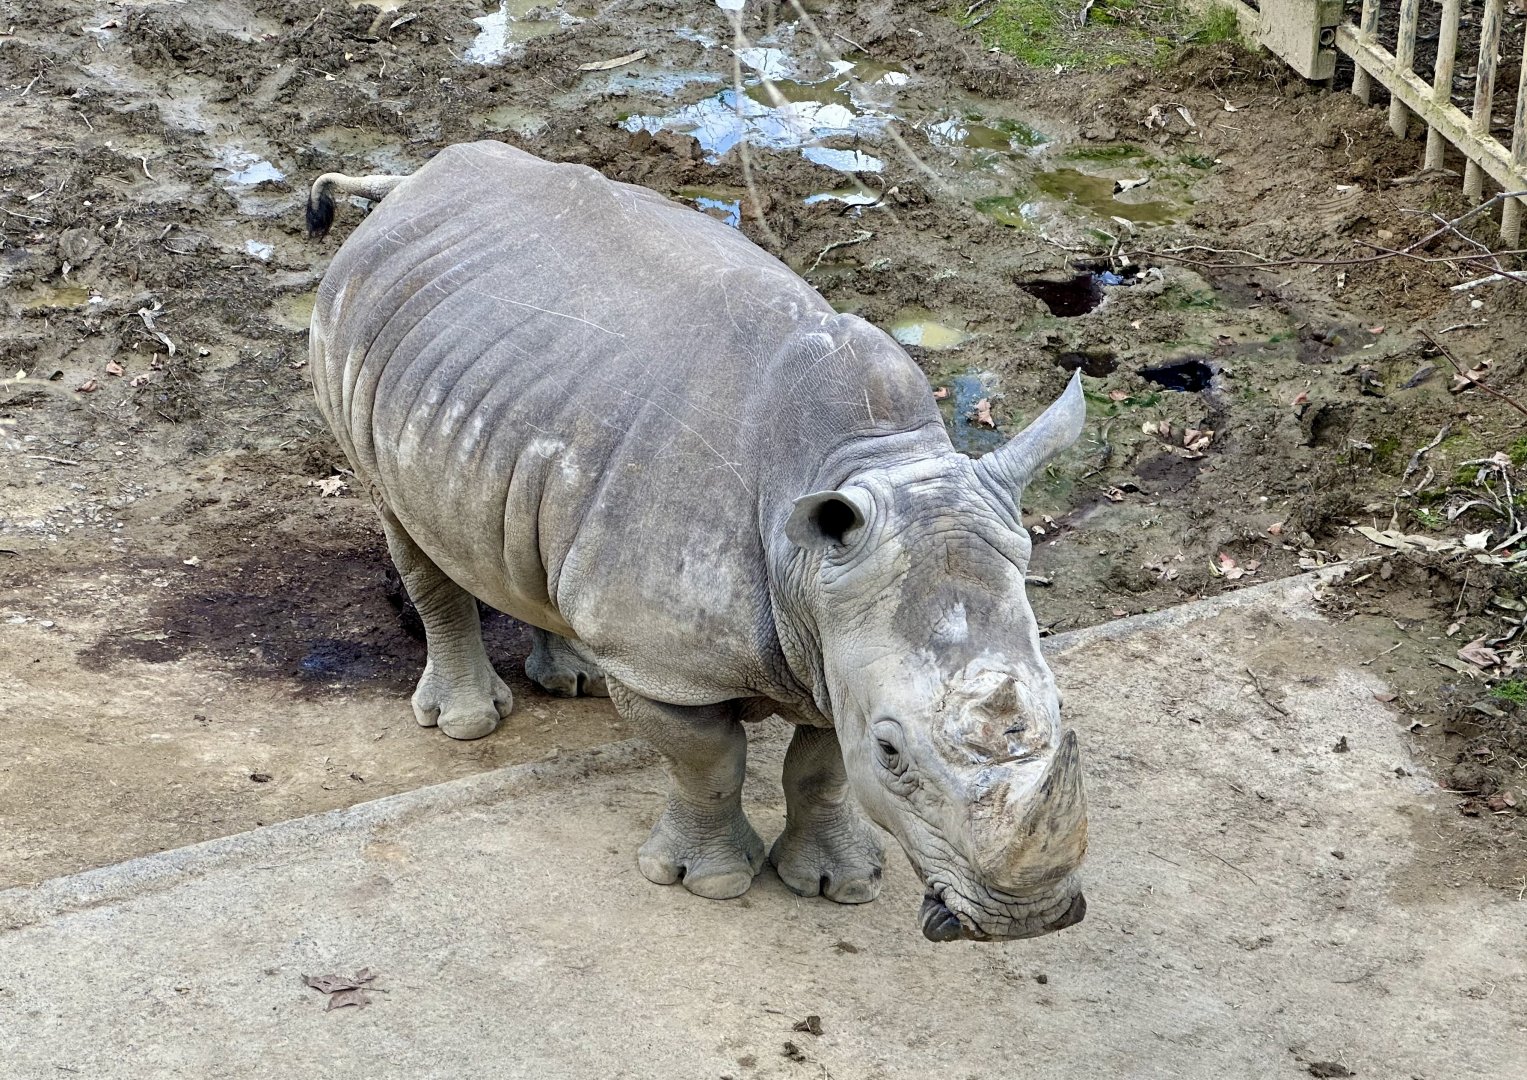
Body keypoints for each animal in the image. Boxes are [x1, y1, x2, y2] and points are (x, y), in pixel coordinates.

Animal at [305, 141, 1089, 942]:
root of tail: (414, 183)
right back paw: (467, 722)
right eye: (893, 753)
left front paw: (841, 885)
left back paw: (575, 675)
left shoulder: (838, 641)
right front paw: (709, 882)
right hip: (356, 328)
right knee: (406, 525)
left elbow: (821, 767)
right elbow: (711, 763)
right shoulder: (668, 665)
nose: (1026, 919)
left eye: (1061, 710)